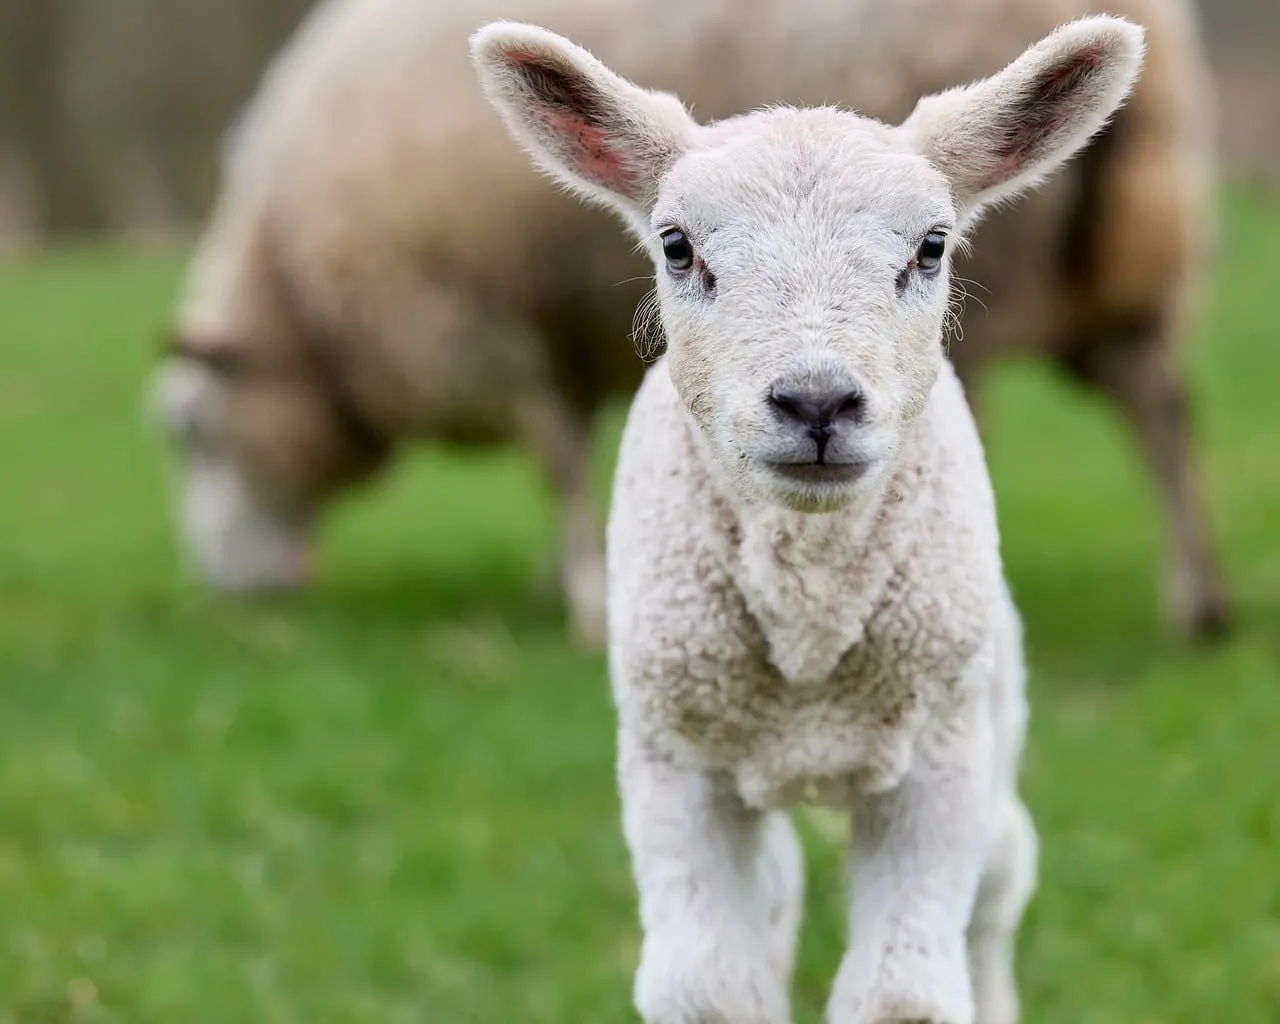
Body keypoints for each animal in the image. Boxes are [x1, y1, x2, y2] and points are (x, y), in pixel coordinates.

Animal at [150, 0, 1226, 650]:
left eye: (193, 434)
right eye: (676, 246)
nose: (230, 589)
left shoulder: (481, 319)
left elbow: (555, 456)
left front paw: (585, 597)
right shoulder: (563, 326)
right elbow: (582, 449)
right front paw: (574, 574)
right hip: (1138, 265)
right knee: (1164, 413)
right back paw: (1200, 604)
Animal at [470, 13, 1142, 1024]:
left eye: (933, 246)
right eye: (677, 246)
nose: (817, 402)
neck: (809, 605)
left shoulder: (939, 759)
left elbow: (905, 993)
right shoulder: (675, 761)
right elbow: (707, 986)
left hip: (990, 729)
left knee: (999, 888)